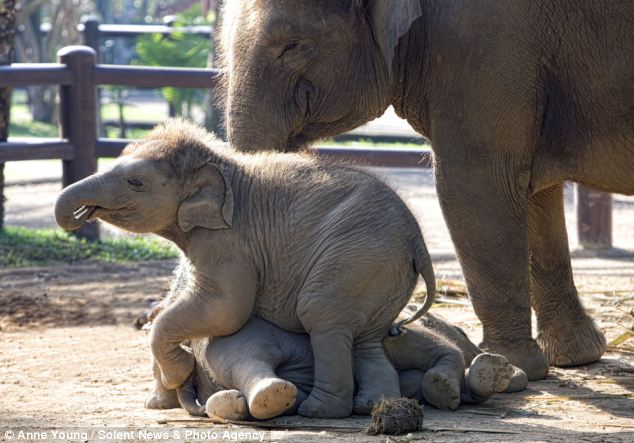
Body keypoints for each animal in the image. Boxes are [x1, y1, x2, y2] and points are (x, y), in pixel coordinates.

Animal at [55, 119, 434, 418]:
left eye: (136, 182)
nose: (80, 214)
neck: (220, 161)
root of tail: (418, 242)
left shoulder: (228, 241)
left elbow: (227, 310)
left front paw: (179, 372)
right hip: (380, 272)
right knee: (366, 338)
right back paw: (370, 405)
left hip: (356, 259)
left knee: (321, 316)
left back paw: (315, 411)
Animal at [218, 0, 632, 382]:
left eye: (292, 45)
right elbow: (534, 196)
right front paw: (574, 357)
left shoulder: (482, 45)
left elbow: (475, 182)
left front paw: (510, 366)